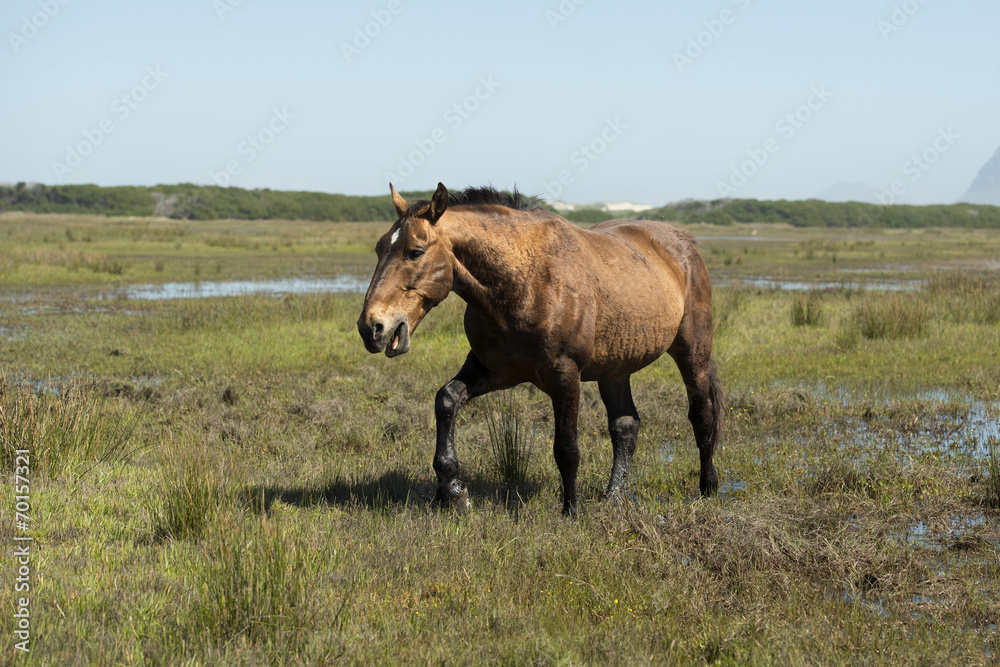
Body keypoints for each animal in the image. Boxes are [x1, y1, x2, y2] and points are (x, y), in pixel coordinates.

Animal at [356, 183, 724, 516]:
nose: (371, 327)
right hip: (615, 368)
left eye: (415, 251)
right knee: (625, 426)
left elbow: (566, 448)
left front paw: (571, 511)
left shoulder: (565, 376)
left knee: (701, 416)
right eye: (378, 248)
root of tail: (683, 242)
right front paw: (453, 490)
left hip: (693, 352)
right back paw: (614, 497)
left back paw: (708, 488)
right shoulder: (494, 370)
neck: (524, 282)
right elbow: (446, 400)